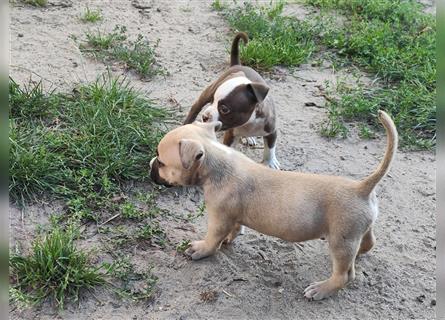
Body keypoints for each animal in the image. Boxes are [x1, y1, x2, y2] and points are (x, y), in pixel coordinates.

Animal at [149, 110, 396, 300]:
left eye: (161, 161)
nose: (150, 164)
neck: (216, 161)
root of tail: (361, 188)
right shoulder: (233, 217)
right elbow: (235, 230)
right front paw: (228, 240)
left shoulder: (219, 218)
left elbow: (212, 239)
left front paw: (201, 249)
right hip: (354, 232)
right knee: (368, 242)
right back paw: (359, 253)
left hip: (340, 240)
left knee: (345, 275)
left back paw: (322, 289)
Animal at [181, 32, 278, 170]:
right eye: (213, 101)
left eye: (224, 109)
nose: (205, 117)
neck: (249, 123)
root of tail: (237, 65)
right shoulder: (230, 135)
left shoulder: (271, 130)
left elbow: (270, 148)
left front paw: (270, 162)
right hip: (208, 91)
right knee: (196, 106)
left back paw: (249, 138)